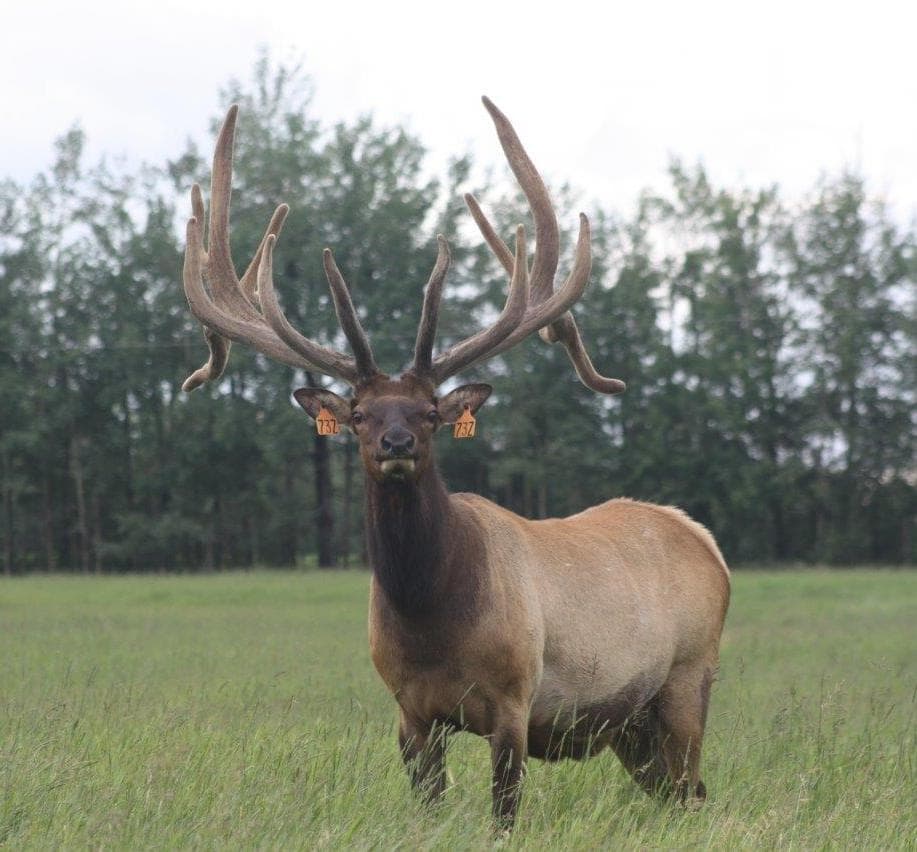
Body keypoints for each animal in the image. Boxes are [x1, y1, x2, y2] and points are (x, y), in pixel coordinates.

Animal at [181, 96, 728, 828]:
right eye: (359, 414)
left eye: (429, 413)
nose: (396, 445)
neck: (432, 625)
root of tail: (704, 539)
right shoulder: (409, 710)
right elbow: (427, 808)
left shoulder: (515, 698)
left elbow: (504, 812)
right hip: (631, 724)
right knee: (676, 794)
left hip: (689, 678)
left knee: (693, 789)